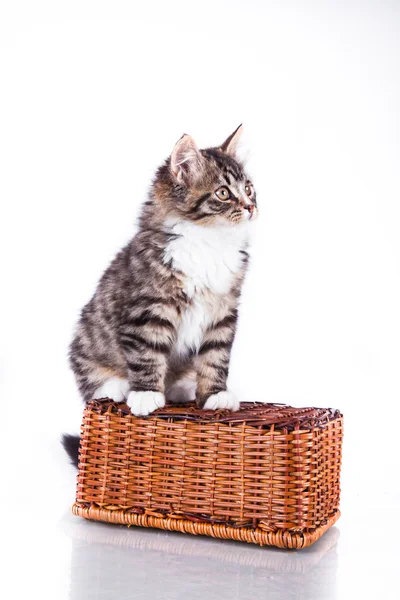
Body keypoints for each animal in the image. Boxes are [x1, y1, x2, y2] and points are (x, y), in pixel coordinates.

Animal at [68, 125, 256, 418]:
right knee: (89, 380)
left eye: (248, 188)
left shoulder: (223, 312)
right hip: (86, 336)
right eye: (223, 193)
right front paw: (146, 395)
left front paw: (215, 394)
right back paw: (117, 387)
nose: (251, 206)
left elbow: (216, 356)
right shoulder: (147, 310)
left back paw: (182, 388)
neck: (210, 241)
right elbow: (147, 353)